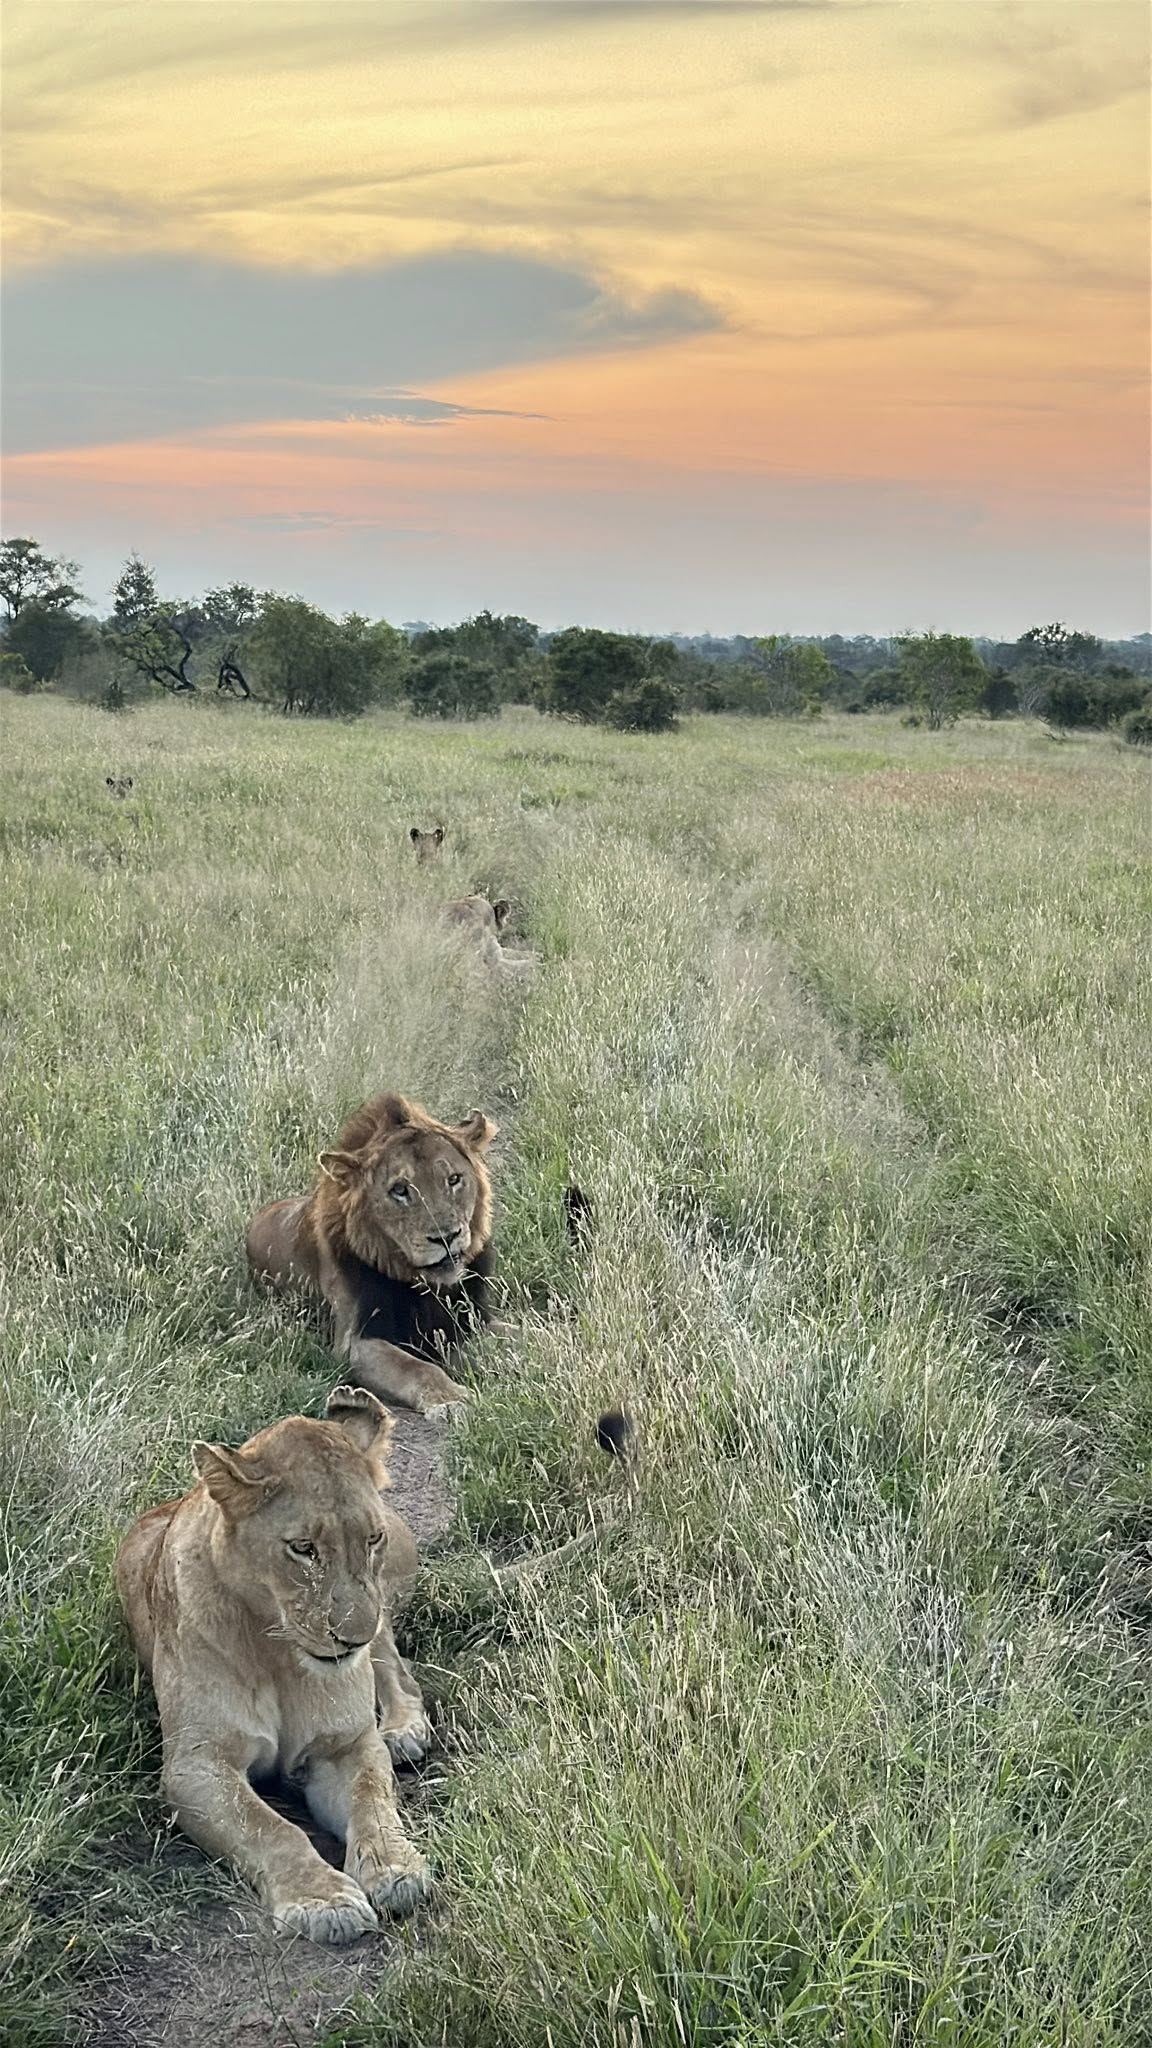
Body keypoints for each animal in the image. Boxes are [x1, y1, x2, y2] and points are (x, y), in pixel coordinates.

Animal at [115, 1386, 432, 1945]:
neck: (280, 1655)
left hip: (383, 1614)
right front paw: (324, 1901)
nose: (351, 1637)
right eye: (302, 1549)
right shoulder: (197, 1764)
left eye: (371, 1539)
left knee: (396, 1669)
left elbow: (372, 1801)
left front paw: (396, 1869)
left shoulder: (345, 1743)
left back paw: (402, 1731)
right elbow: (269, 1828)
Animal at [246, 1092, 498, 1417]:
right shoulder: (355, 1343)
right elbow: (417, 1369)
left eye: (453, 1179)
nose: (447, 1237)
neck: (426, 1289)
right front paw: (453, 1401)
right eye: (400, 1190)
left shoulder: (468, 1324)